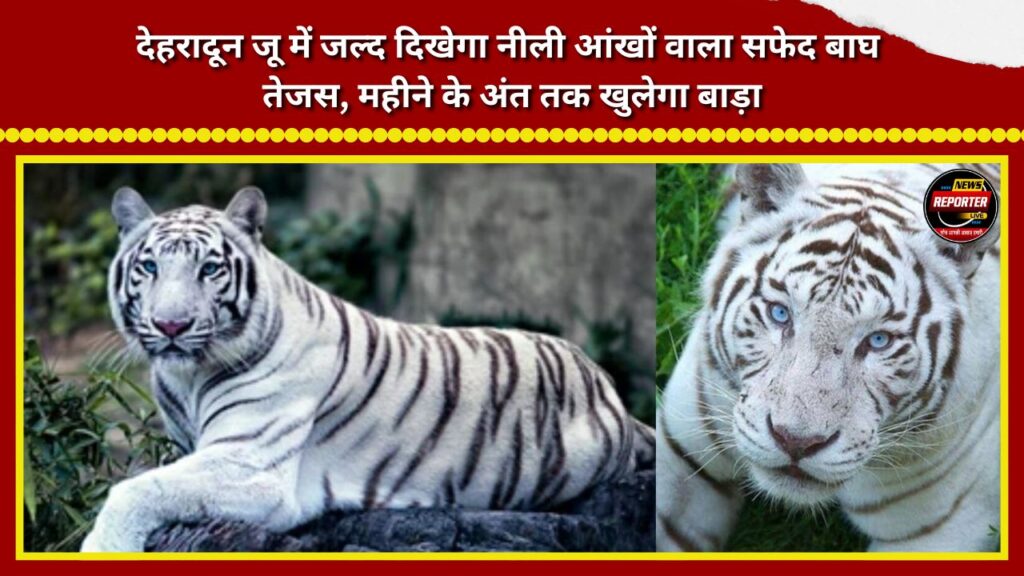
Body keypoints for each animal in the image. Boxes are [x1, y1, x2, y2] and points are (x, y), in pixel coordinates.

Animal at [81, 186, 655, 552]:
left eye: (210, 269)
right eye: (149, 266)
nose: (171, 325)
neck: (188, 378)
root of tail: (608, 386)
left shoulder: (250, 464)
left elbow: (136, 489)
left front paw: (102, 546)